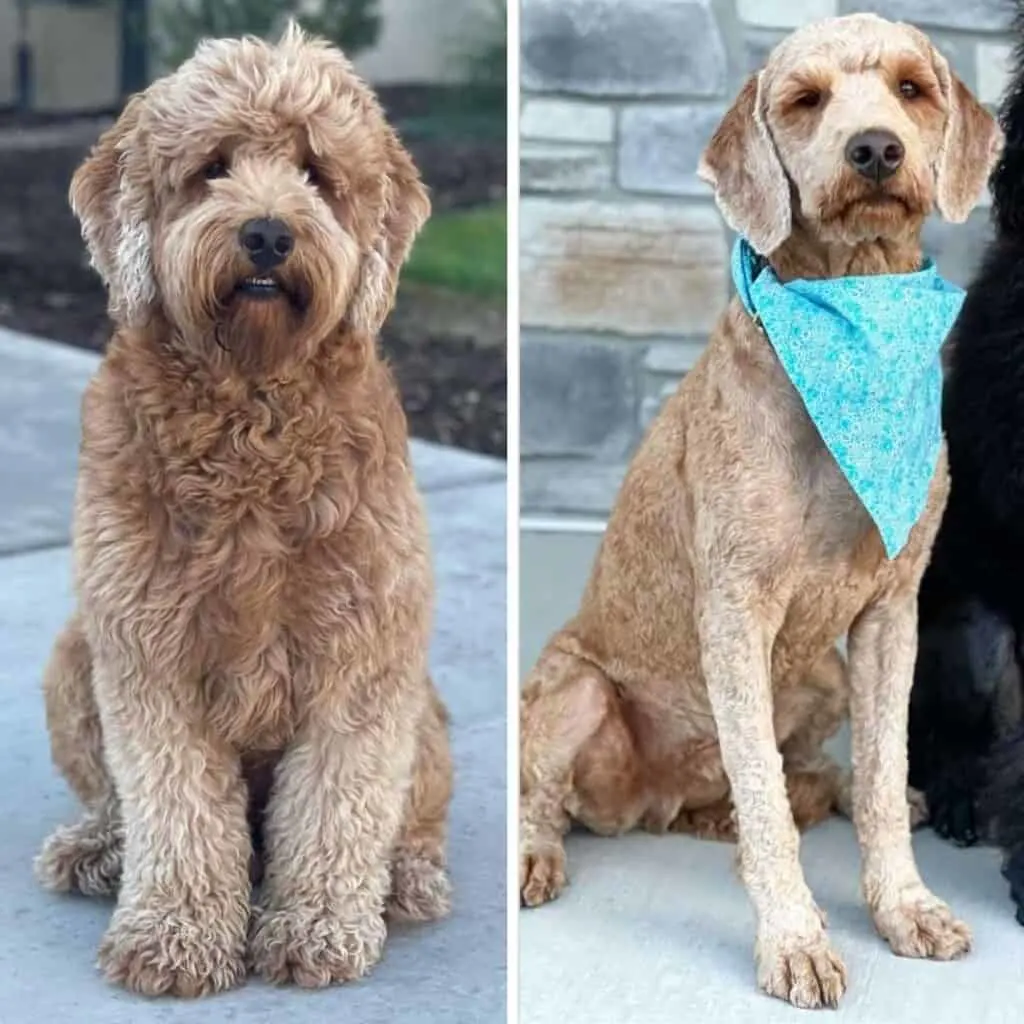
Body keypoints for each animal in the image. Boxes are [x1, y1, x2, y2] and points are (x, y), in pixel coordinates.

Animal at [34, 25, 450, 999]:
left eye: (316, 174)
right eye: (213, 168)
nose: (266, 231)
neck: (251, 411)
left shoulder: (363, 653)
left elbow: (339, 801)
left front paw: (316, 927)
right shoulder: (147, 653)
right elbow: (175, 803)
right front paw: (176, 934)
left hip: (425, 712)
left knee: (406, 819)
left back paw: (406, 875)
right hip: (75, 658)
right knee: (119, 802)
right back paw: (98, 848)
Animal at [524, 14, 1003, 1007]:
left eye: (912, 88)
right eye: (805, 100)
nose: (876, 150)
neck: (853, 313)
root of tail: (653, 804)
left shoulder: (891, 610)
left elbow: (881, 760)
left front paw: (904, 902)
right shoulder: (736, 609)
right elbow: (766, 799)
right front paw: (795, 941)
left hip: (819, 673)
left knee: (797, 782)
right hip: (579, 690)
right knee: (549, 797)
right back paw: (539, 854)